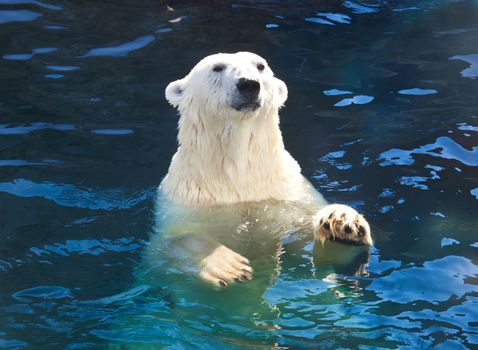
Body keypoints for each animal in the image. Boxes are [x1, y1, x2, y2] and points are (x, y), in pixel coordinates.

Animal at [150, 51, 374, 288]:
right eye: (217, 67)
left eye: (260, 65)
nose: (249, 84)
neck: (240, 173)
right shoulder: (187, 200)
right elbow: (171, 242)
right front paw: (229, 267)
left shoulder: (288, 194)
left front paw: (342, 224)